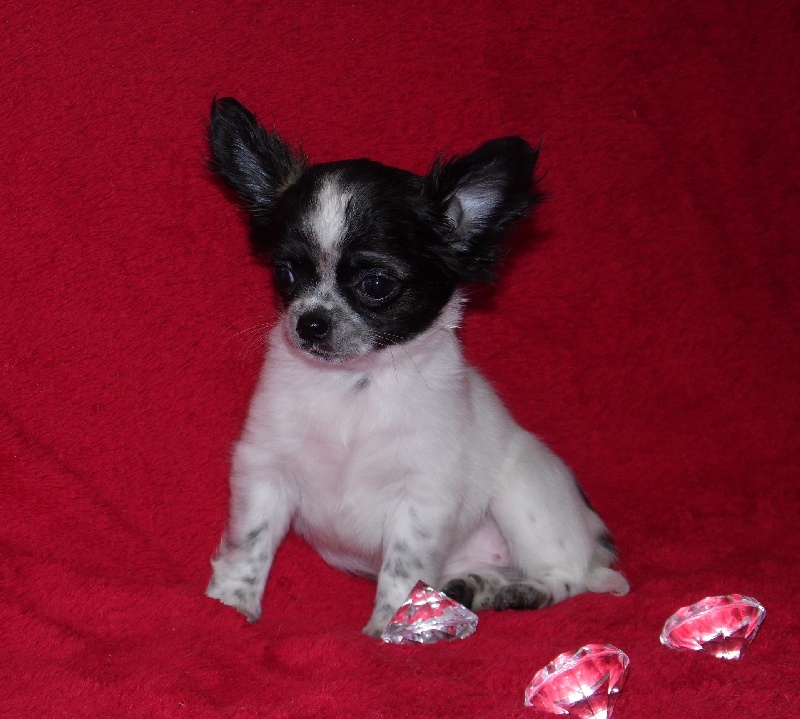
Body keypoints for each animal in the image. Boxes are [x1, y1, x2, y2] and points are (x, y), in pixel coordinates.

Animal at [204, 97, 629, 637]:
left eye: (377, 285)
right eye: (287, 274)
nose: (310, 323)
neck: (353, 388)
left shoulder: (421, 498)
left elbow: (403, 569)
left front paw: (389, 629)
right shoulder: (265, 470)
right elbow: (251, 545)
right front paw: (229, 605)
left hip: (526, 492)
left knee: (571, 576)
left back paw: (523, 592)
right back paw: (478, 586)